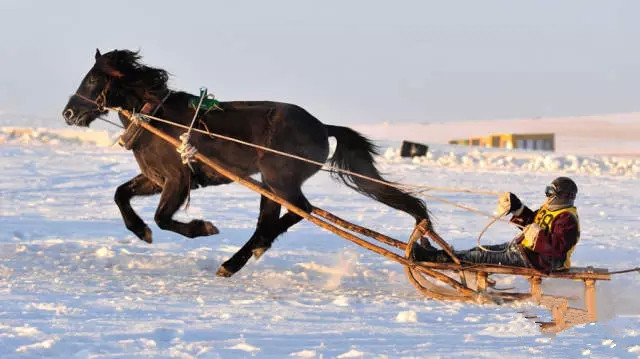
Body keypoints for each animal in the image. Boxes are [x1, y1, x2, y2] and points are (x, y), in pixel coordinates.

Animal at [62, 49, 432, 278]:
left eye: (93, 79)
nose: (68, 113)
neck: (157, 120)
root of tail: (322, 126)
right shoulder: (154, 178)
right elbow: (120, 195)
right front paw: (141, 231)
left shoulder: (177, 179)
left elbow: (164, 218)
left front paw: (202, 228)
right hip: (270, 184)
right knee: (276, 219)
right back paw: (246, 255)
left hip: (278, 179)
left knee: (300, 211)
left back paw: (235, 260)